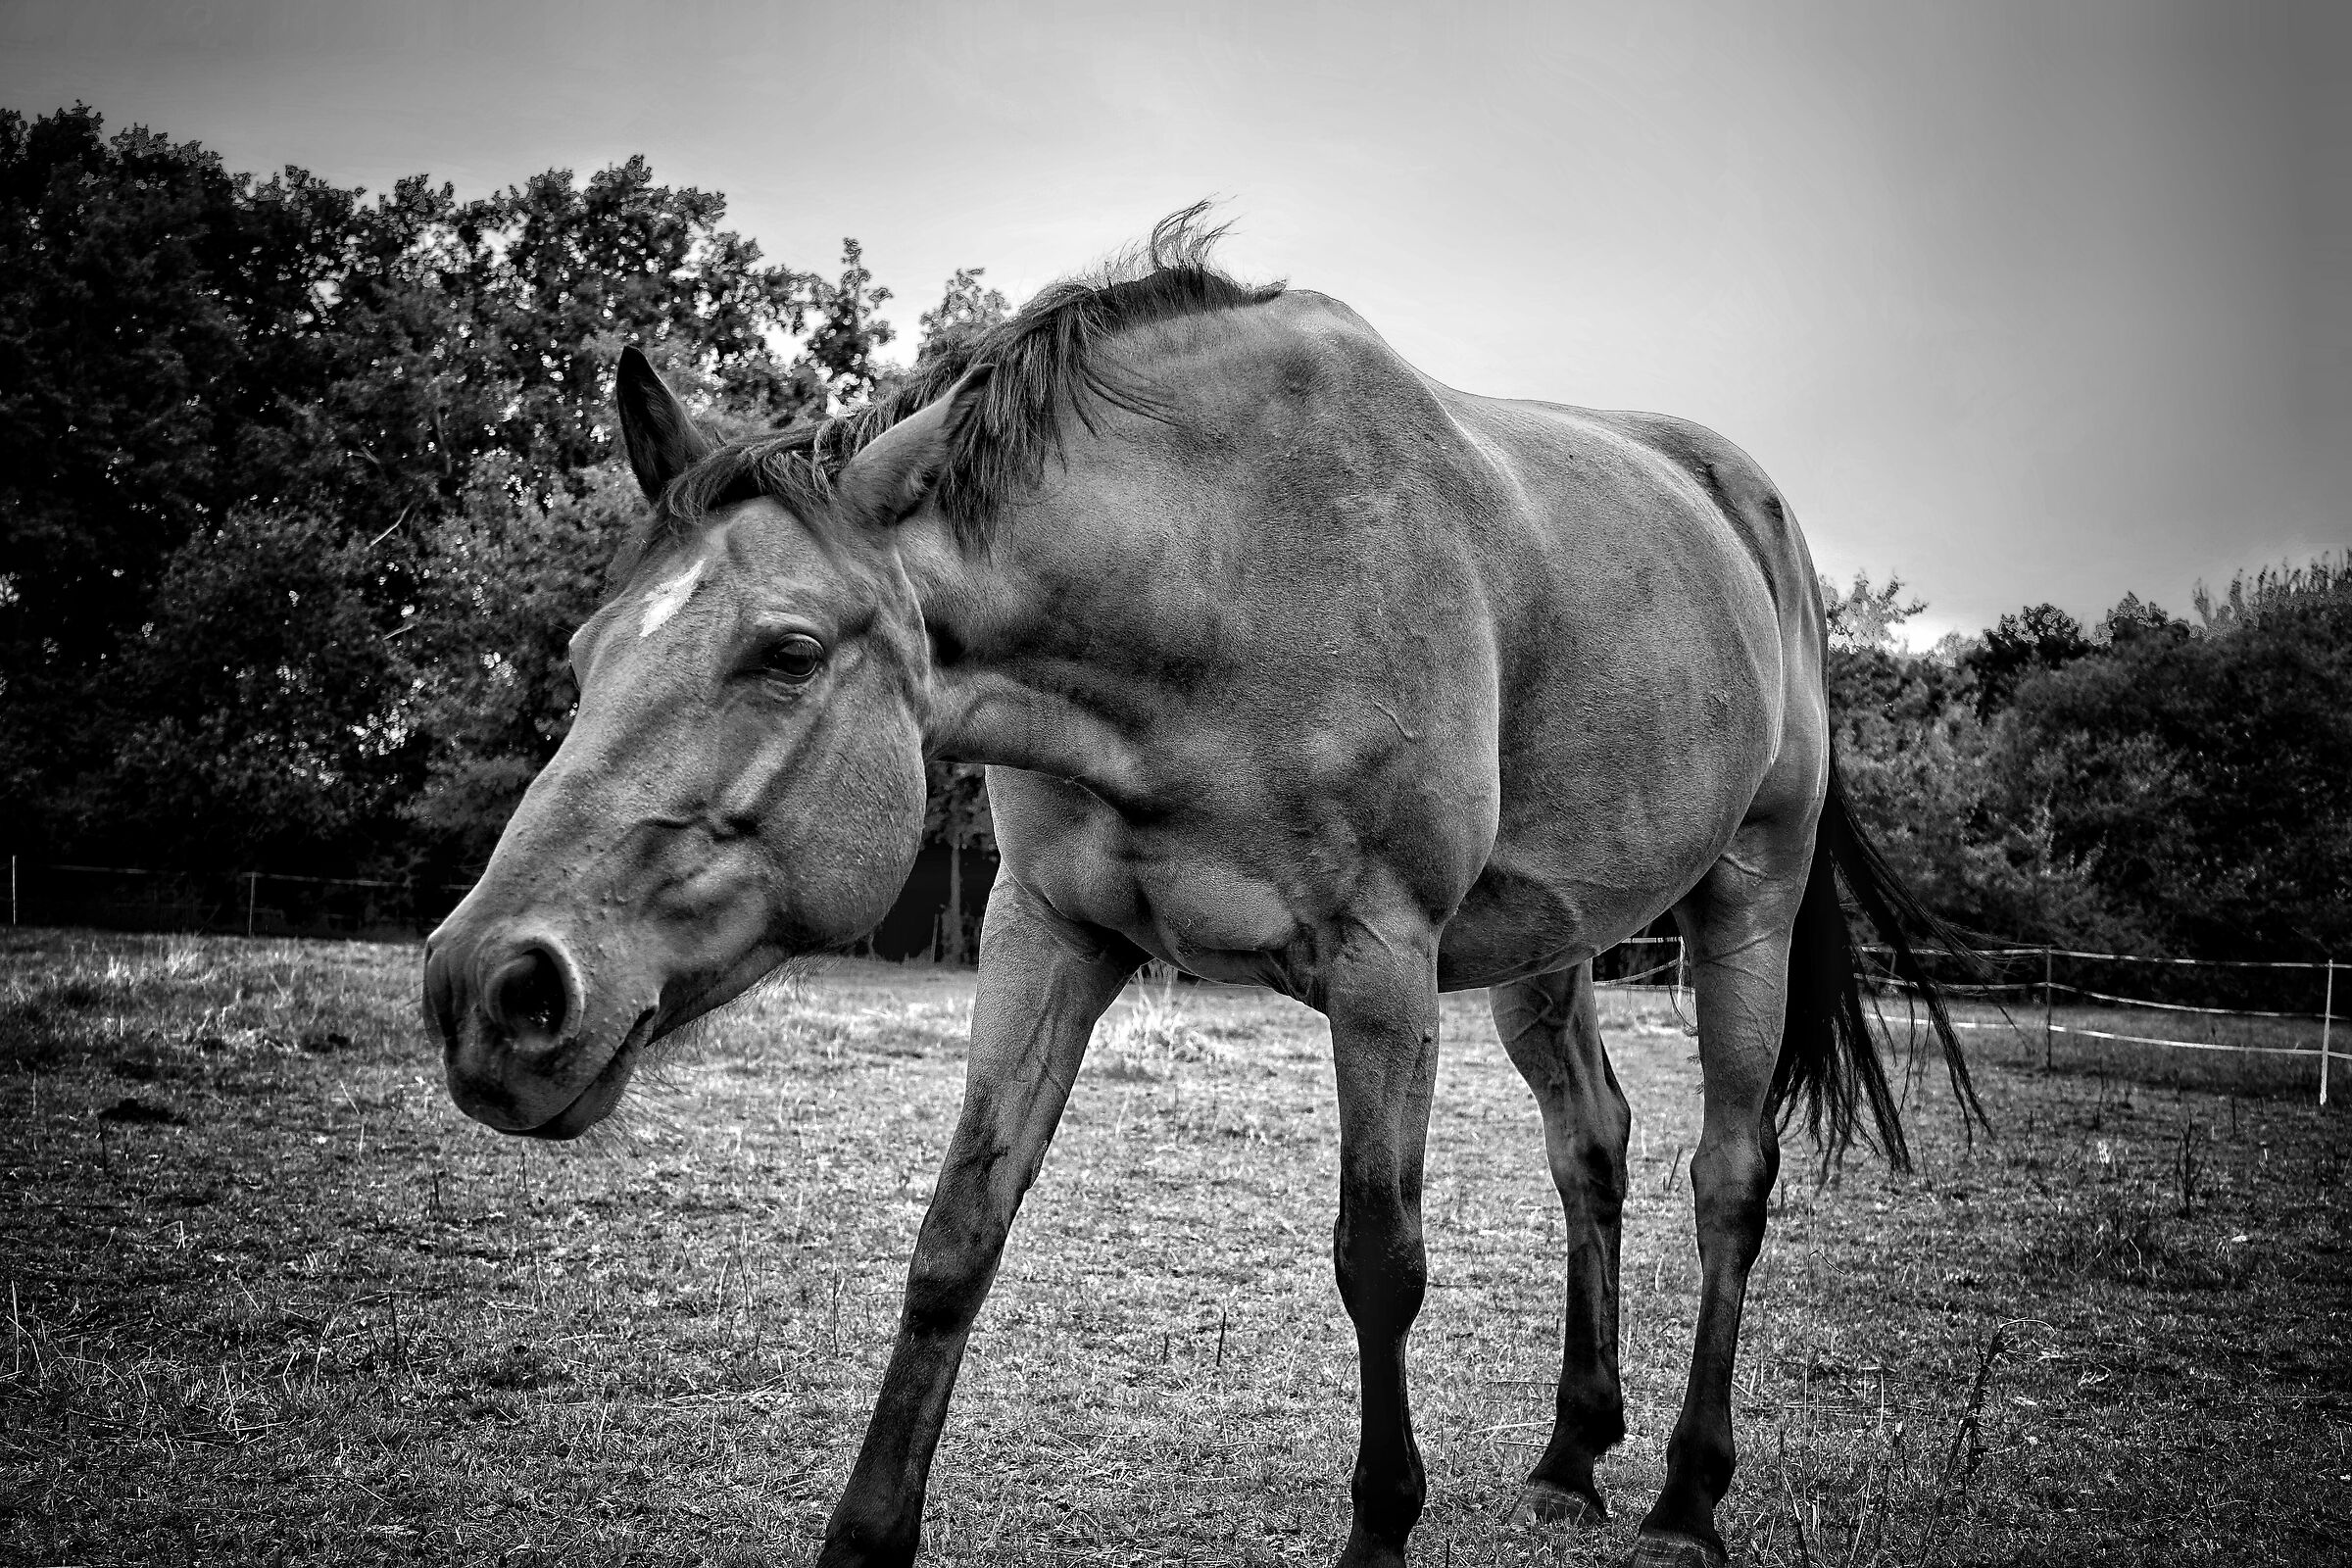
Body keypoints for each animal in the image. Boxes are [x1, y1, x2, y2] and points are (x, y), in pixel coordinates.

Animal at [423, 209, 1974, 1568]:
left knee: (1729, 1176)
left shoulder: (1382, 963)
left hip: (1749, 895)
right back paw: (1570, 1456)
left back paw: (1687, 1497)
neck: (1220, 574)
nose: (490, 990)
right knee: (1592, 1141)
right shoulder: (1049, 933)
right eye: (583, 654)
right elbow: (957, 1237)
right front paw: (864, 1537)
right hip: (1551, 943)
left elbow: (1379, 1258)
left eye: (788, 652)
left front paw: (1380, 1529)